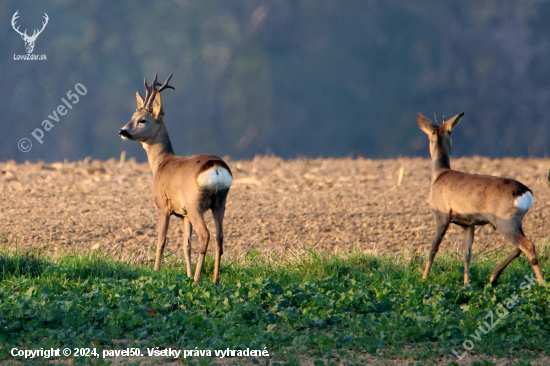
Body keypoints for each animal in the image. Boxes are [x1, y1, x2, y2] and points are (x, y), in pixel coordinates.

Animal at [119, 73, 234, 284]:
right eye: (132, 117)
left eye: (143, 120)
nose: (122, 131)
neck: (162, 163)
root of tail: (216, 168)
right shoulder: (184, 214)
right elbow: (185, 245)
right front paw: (186, 274)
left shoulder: (163, 206)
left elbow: (161, 240)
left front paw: (156, 271)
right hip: (220, 202)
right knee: (219, 238)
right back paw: (215, 280)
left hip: (196, 203)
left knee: (205, 235)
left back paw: (197, 279)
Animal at [420, 111, 544, 286]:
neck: (439, 174)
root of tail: (527, 193)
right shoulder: (468, 224)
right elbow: (467, 254)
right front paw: (466, 283)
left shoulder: (442, 215)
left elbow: (432, 249)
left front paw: (424, 278)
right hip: (513, 221)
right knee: (520, 247)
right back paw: (493, 277)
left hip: (505, 221)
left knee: (528, 245)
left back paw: (541, 283)